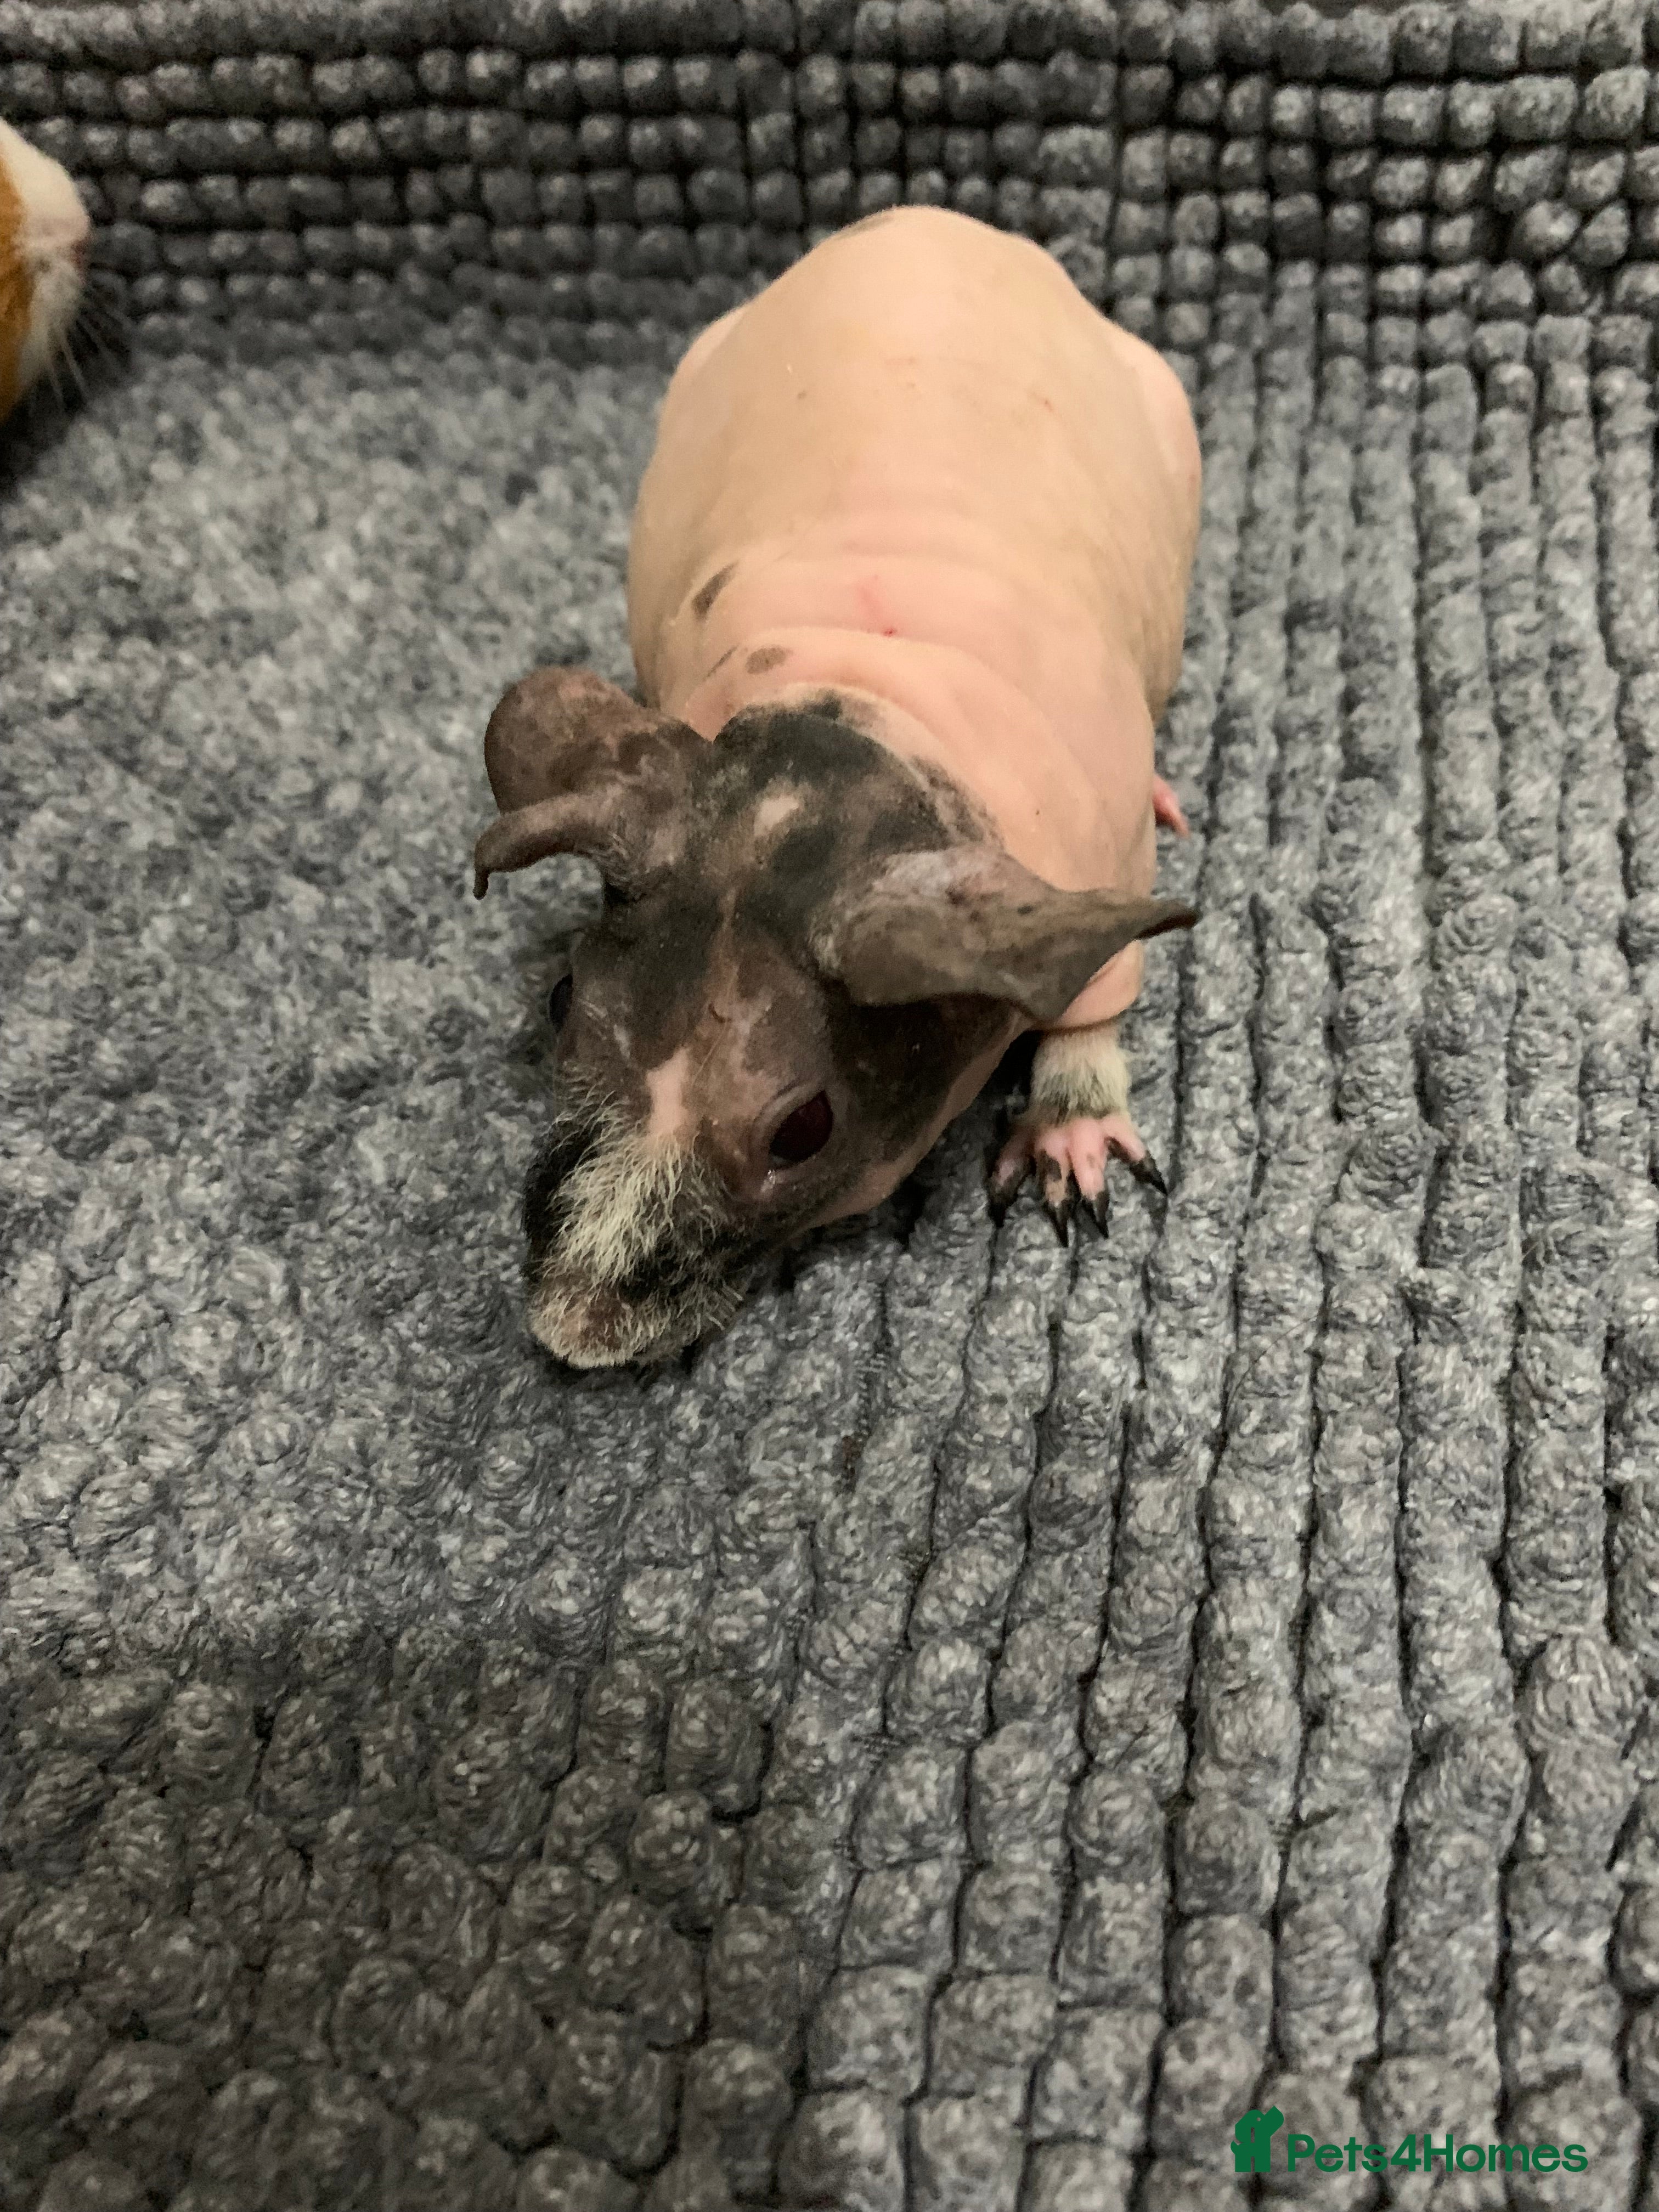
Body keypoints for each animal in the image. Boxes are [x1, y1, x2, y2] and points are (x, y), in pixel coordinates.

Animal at [473, 206, 1203, 1368]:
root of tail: (927, 221)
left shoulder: (1092, 837)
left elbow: (1093, 981)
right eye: (558, 1004)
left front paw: (1069, 1121)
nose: (570, 1330)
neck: (856, 717)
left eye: (801, 1130)